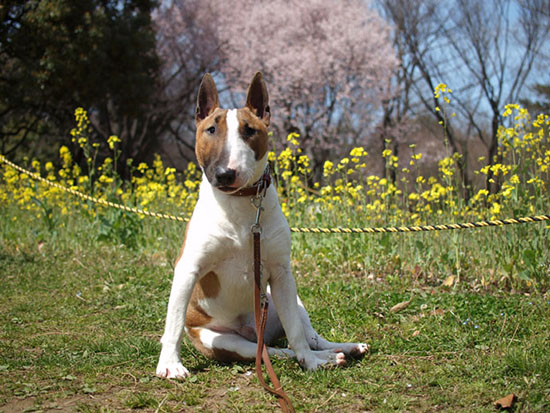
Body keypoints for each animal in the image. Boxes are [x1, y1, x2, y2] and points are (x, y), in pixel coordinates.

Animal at [157, 72, 368, 378]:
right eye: (211, 129)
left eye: (249, 130)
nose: (225, 174)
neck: (241, 203)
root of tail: (253, 331)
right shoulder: (188, 269)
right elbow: (173, 322)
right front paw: (170, 365)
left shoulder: (281, 275)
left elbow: (296, 332)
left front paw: (312, 362)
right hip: (225, 340)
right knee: (272, 351)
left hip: (287, 300)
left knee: (306, 337)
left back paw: (336, 351)